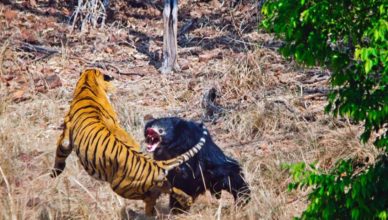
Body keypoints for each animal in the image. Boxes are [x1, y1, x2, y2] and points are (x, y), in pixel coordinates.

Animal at [52, 68, 209, 215]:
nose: (114, 86)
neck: (88, 83)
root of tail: (155, 164)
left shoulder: (65, 136)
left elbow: (60, 152)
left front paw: (55, 173)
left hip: (120, 187)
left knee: (151, 197)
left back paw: (148, 212)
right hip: (158, 183)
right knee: (170, 189)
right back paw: (185, 201)